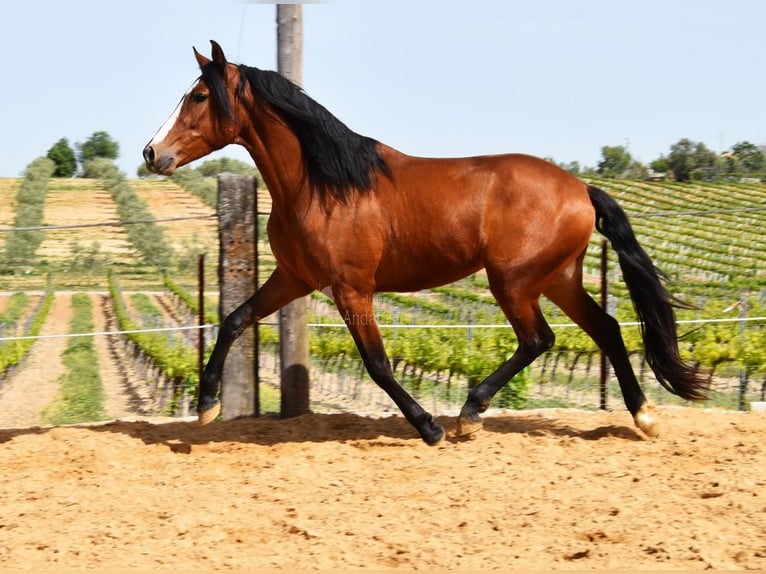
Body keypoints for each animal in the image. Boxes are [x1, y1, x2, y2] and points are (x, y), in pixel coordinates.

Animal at [143, 41, 708, 445]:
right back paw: (644, 417)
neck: (321, 184)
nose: (152, 153)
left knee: (539, 339)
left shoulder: (352, 289)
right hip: (557, 278)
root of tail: (580, 189)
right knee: (606, 329)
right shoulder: (295, 279)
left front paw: (428, 428)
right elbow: (234, 320)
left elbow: (377, 363)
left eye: (198, 97)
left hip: (513, 281)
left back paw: (468, 415)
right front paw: (207, 406)